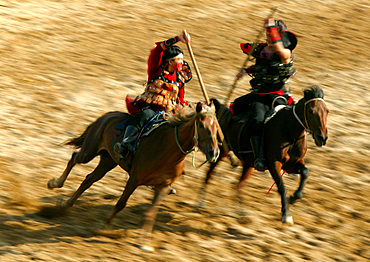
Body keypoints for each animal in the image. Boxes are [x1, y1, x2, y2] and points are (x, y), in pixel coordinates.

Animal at [46, 101, 220, 251]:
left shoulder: (163, 186)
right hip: (90, 150)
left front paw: (145, 242)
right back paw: (55, 183)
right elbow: (120, 204)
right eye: (202, 125)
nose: (214, 153)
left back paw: (66, 204)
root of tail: (107, 116)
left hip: (108, 160)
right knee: (74, 158)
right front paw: (104, 226)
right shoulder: (134, 179)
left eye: (216, 127)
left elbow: (151, 213)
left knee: (89, 179)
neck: (168, 148)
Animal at [198, 87, 328, 224]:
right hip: (219, 152)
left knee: (238, 185)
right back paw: (201, 202)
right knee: (209, 174)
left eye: (327, 111)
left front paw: (294, 197)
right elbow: (282, 187)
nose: (322, 137)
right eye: (311, 111)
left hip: (248, 165)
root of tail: (223, 112)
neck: (288, 131)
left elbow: (305, 172)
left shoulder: (292, 164)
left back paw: (240, 212)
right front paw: (286, 214)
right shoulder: (274, 164)